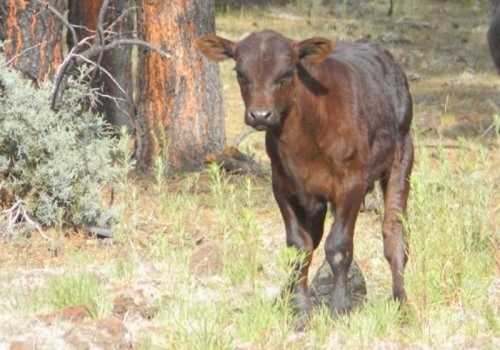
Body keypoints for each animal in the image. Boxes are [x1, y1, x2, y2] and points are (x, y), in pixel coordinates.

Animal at [197, 30, 412, 318]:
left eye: (287, 73)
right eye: (240, 73)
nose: (260, 115)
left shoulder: (352, 183)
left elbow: (339, 246)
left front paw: (340, 308)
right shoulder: (283, 186)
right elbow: (299, 247)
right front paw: (298, 307)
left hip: (402, 156)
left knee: (394, 232)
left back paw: (401, 301)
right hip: (315, 200)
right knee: (315, 238)